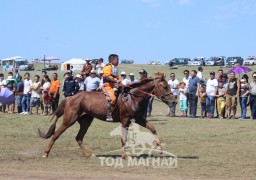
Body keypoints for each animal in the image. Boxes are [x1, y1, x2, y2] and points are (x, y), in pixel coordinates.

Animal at [39, 74, 176, 158]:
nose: (174, 101)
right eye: (165, 87)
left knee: (79, 137)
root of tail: (71, 97)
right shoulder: (125, 121)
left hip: (86, 121)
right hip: (69, 120)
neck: (133, 97)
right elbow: (123, 138)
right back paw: (46, 153)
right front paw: (124, 155)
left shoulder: (139, 119)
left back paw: (88, 154)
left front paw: (159, 148)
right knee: (56, 134)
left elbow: (153, 128)